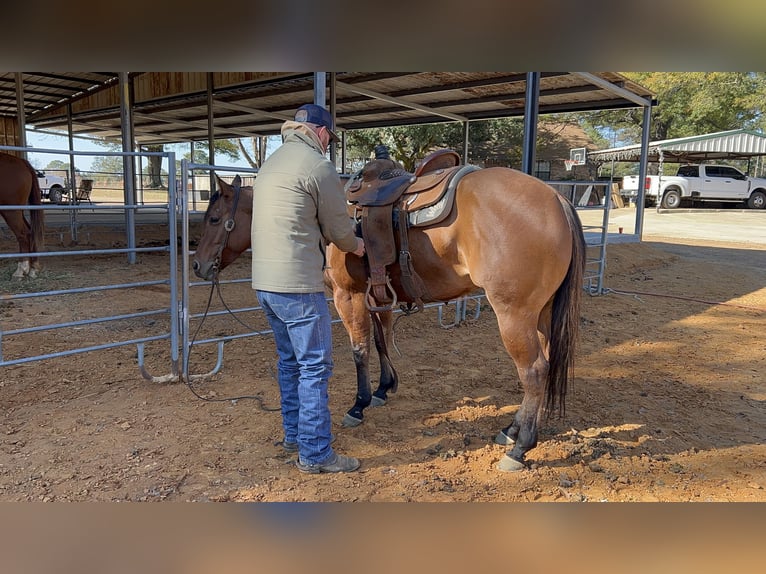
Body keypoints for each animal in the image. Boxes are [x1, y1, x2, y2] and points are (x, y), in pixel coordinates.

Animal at [0, 152, 45, 280]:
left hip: (11, 211)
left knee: (23, 234)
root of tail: (21, 162)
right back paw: (33, 268)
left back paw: (20, 270)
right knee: (30, 232)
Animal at [194, 163, 588, 472]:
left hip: (514, 314)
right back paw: (511, 429)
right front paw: (384, 388)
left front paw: (359, 405)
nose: (198, 266)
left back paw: (520, 449)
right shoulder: (377, 295)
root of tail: (556, 199)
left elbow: (359, 350)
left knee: (533, 372)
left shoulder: (348, 295)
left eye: (214, 218)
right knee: (545, 365)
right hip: (541, 313)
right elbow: (382, 341)